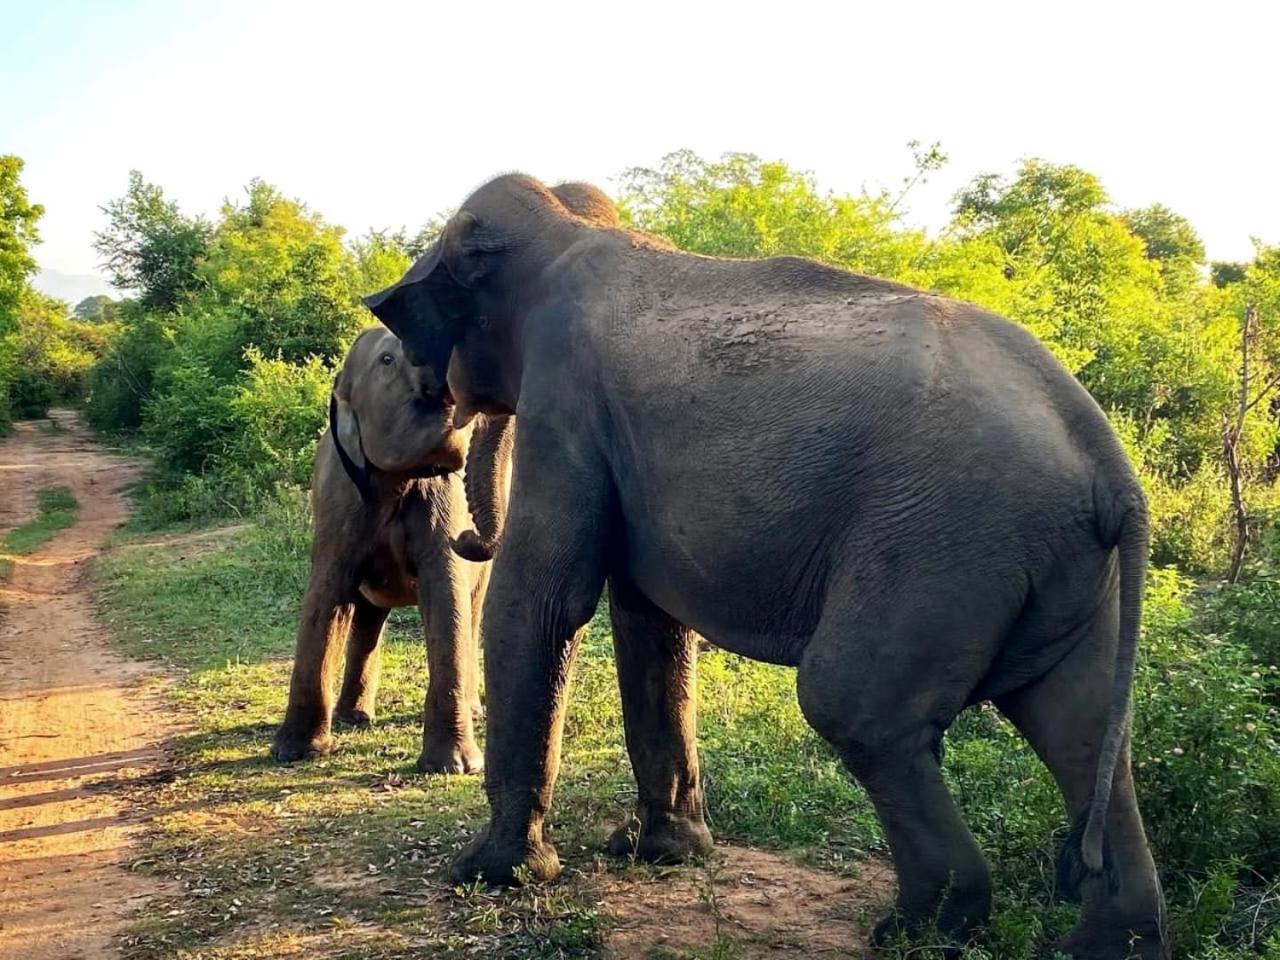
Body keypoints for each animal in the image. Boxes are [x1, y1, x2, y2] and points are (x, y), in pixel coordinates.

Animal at [271, 327, 509, 778]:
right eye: (387, 360)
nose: (467, 537)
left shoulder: (443, 499)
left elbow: (446, 593)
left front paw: (453, 767)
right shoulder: (339, 500)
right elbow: (325, 596)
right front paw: (294, 752)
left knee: (469, 611)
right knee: (365, 618)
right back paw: (353, 718)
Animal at [360, 175, 1172, 960]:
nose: (471, 536)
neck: (574, 227)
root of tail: (1108, 464)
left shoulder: (566, 399)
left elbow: (546, 601)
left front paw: (489, 874)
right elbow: (649, 617)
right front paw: (664, 854)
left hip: (946, 545)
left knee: (856, 705)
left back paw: (919, 929)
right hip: (1049, 563)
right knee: (1080, 724)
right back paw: (1109, 944)